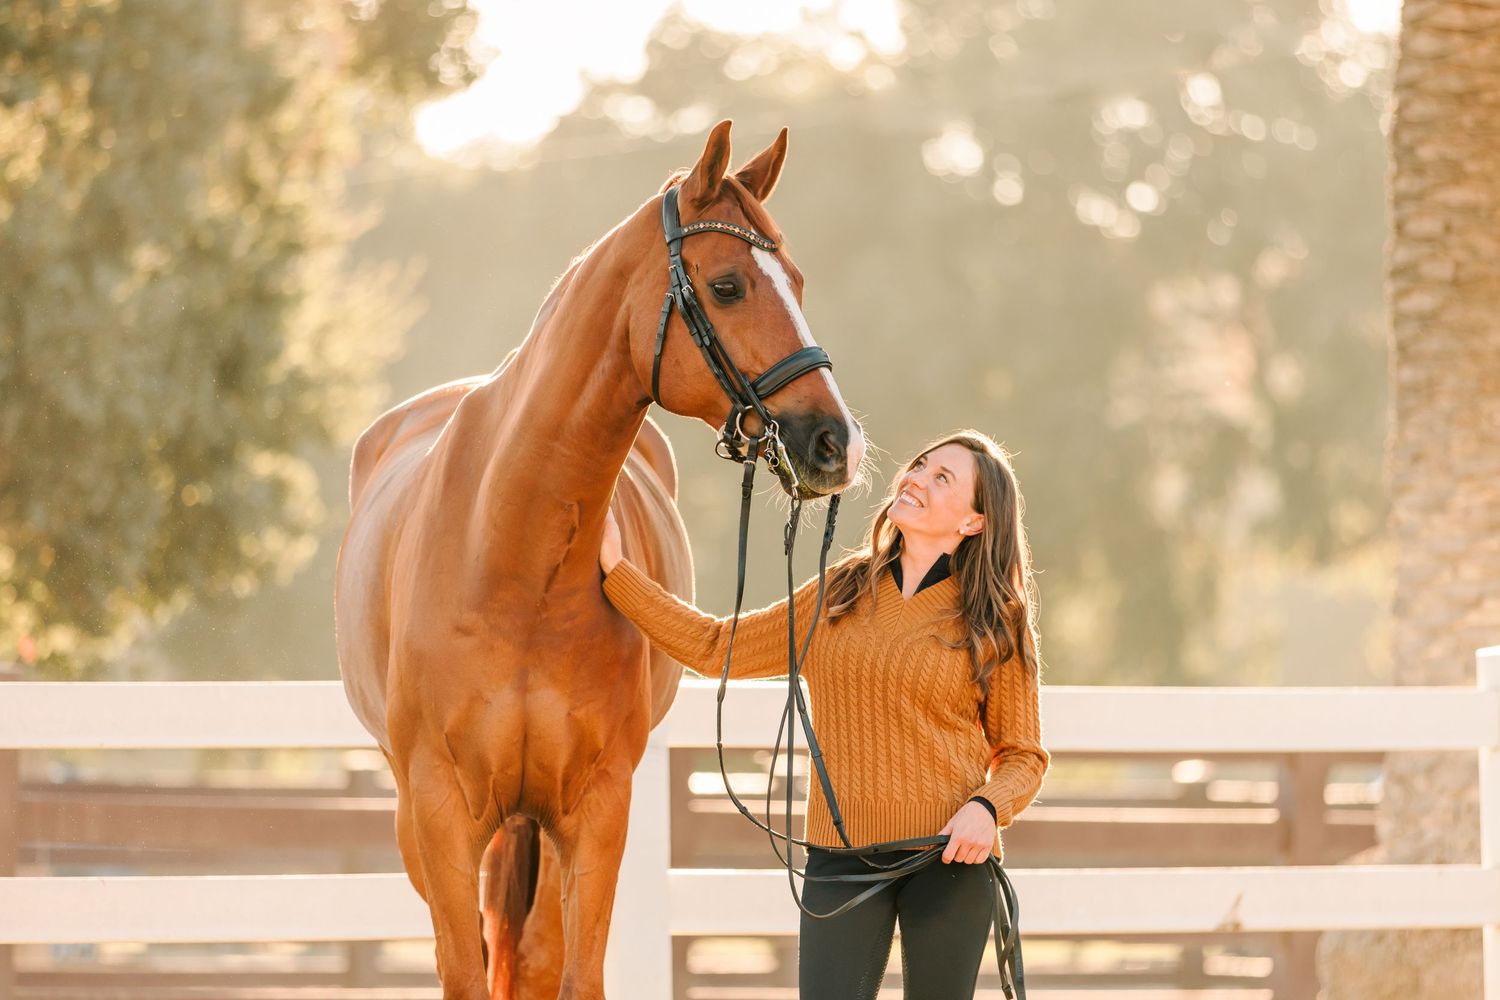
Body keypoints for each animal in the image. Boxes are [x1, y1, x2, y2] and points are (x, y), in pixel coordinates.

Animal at [334, 120, 866, 1000]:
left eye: (794, 279)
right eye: (728, 286)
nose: (834, 443)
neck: (512, 555)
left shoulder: (595, 807)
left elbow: (574, 975)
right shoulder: (438, 811)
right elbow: (465, 972)